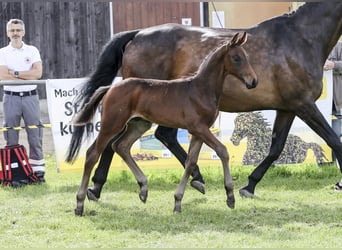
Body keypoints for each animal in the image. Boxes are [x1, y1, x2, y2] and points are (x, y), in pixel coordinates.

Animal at [71, 32, 256, 216]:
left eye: (247, 57)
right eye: (236, 58)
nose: (253, 81)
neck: (201, 89)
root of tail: (110, 88)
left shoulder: (198, 132)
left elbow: (190, 162)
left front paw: (178, 201)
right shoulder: (199, 128)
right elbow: (222, 151)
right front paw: (230, 196)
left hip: (139, 124)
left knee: (121, 146)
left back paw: (143, 188)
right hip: (112, 124)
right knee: (92, 154)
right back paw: (79, 204)